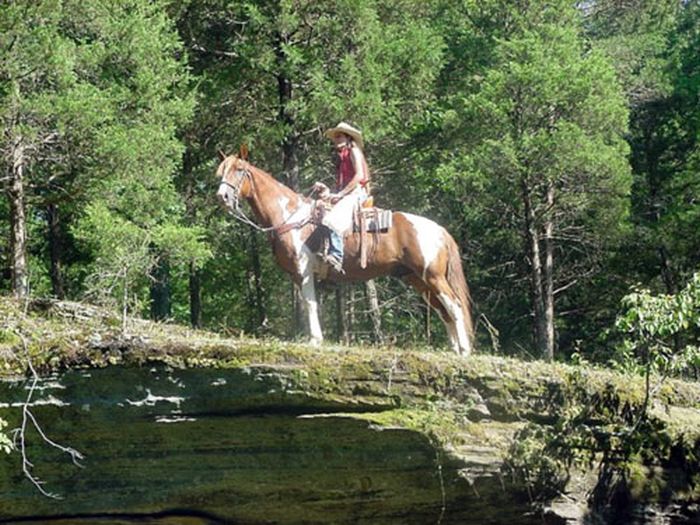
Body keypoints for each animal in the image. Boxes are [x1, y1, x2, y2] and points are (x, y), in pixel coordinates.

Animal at [215, 152, 476, 356]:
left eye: (239, 170)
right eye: (221, 172)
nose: (222, 196)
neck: (290, 217)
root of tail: (440, 230)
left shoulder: (304, 271)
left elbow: (310, 304)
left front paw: (315, 340)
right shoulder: (298, 276)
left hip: (433, 276)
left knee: (454, 306)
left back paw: (464, 350)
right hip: (417, 279)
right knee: (443, 311)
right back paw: (454, 349)